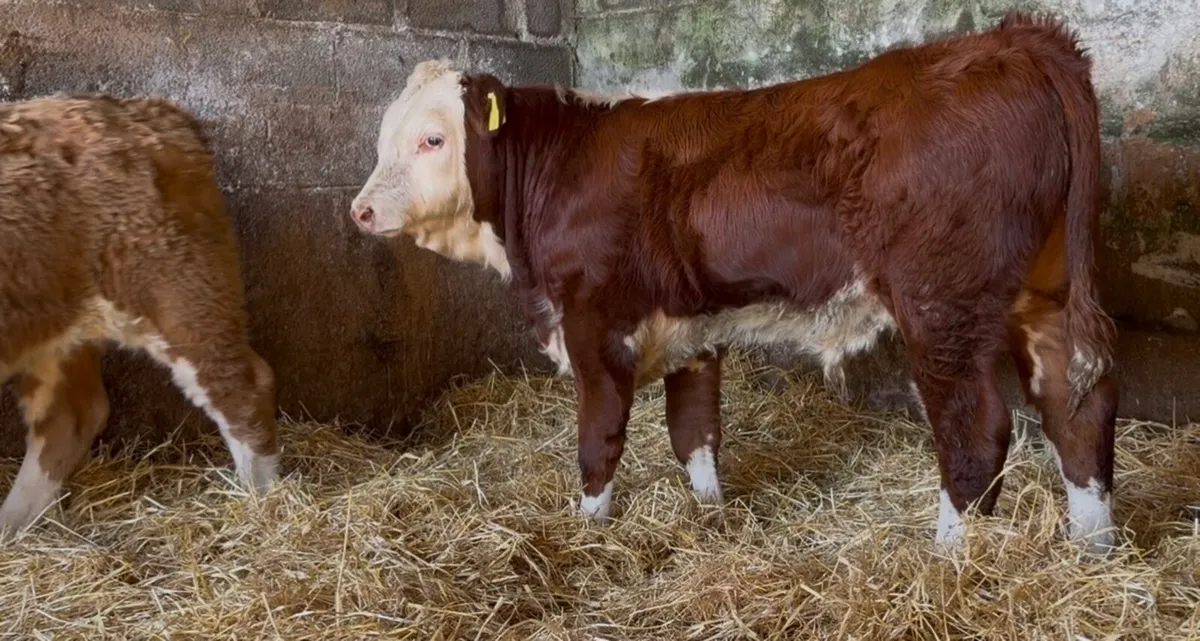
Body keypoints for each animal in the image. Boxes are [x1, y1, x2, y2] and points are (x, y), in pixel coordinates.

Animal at [0, 95, 280, 540]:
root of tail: (147, 110)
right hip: (55, 327)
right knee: (70, 415)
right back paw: (13, 526)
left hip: (180, 295)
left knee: (242, 387)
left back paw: (261, 501)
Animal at [349, 12, 1120, 553]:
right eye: (384, 140)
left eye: (433, 139)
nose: (360, 209)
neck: (559, 165)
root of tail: (1015, 39)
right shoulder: (689, 327)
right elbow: (695, 431)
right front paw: (709, 516)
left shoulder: (595, 323)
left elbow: (599, 438)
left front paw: (588, 528)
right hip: (1044, 294)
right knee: (1075, 406)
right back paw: (1092, 548)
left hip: (942, 305)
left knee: (977, 431)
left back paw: (948, 556)